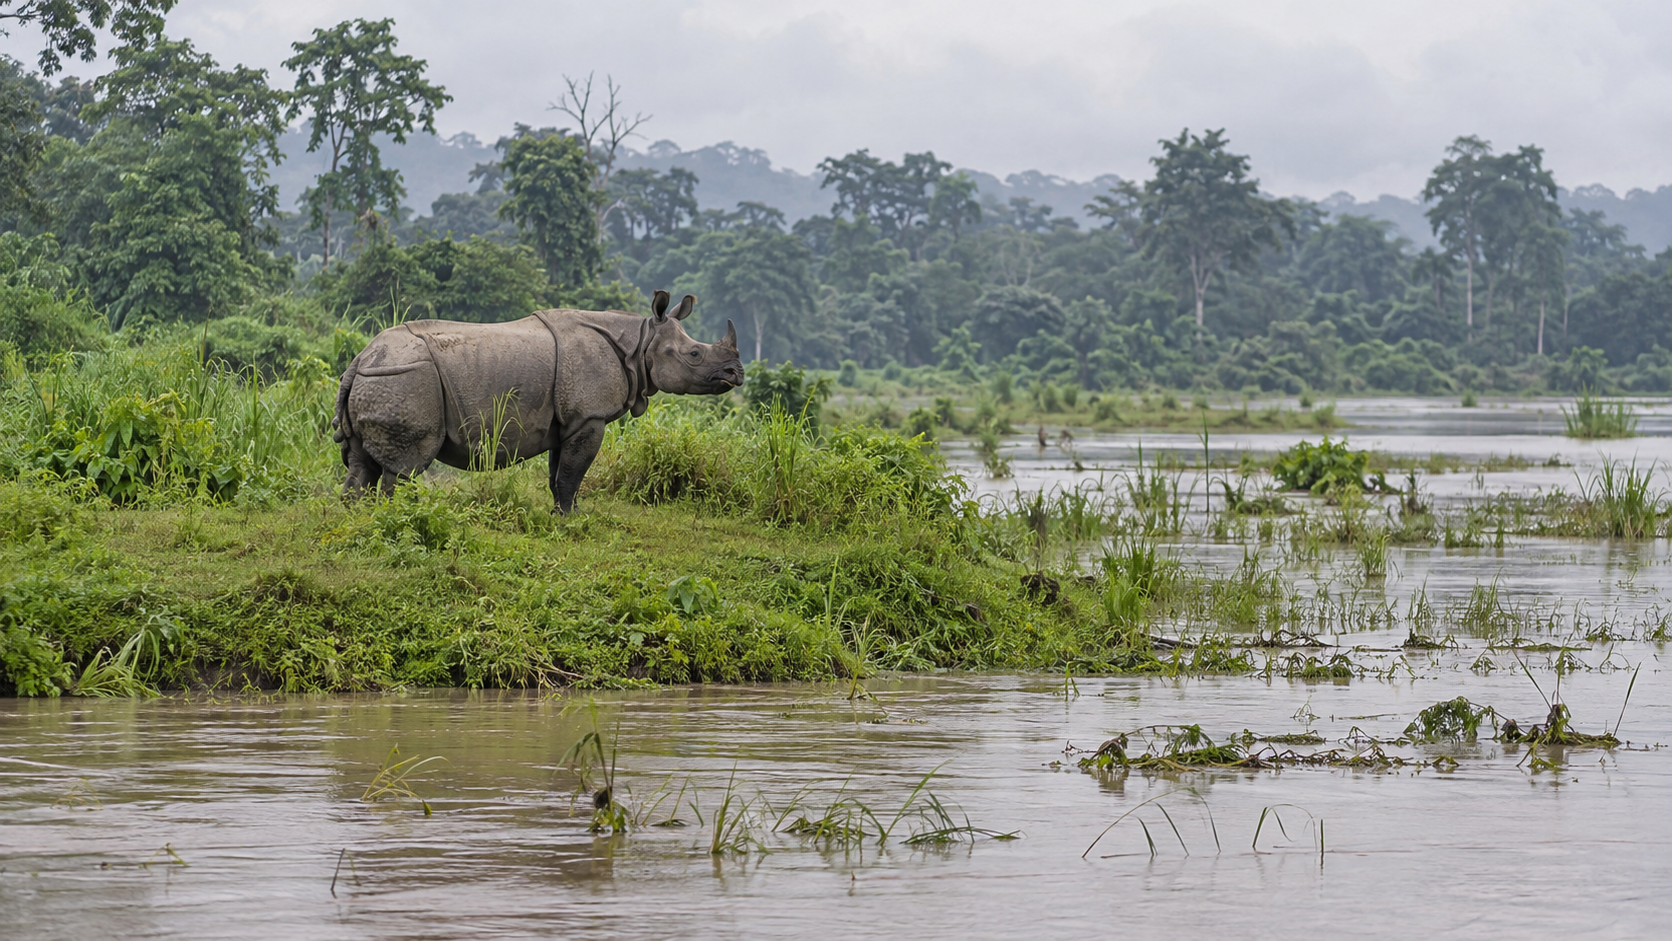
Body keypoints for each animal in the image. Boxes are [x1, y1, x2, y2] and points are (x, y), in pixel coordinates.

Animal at [331, 290, 743, 512]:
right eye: (694, 355)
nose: (736, 374)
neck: (640, 341)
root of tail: (358, 360)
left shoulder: (569, 420)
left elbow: (560, 473)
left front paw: (566, 513)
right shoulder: (589, 416)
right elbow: (574, 473)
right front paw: (572, 519)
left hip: (382, 377)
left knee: (363, 465)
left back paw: (357, 519)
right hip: (405, 378)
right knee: (404, 467)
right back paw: (397, 516)